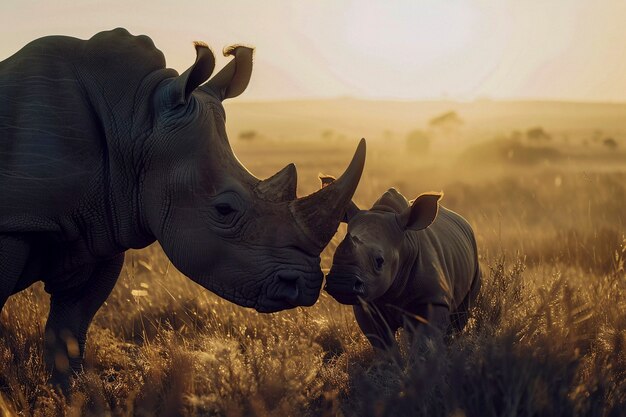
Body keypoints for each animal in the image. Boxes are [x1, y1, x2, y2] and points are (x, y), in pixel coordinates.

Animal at [0, 28, 364, 386]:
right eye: (224, 210)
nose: (307, 286)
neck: (136, 121)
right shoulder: (15, 224)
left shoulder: (101, 226)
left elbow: (70, 333)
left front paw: (72, 394)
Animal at [320, 178, 480, 348]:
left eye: (379, 261)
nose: (341, 283)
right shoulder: (366, 303)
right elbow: (383, 344)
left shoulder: (432, 299)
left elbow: (425, 341)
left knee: (460, 316)